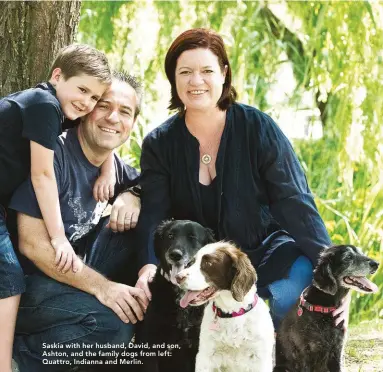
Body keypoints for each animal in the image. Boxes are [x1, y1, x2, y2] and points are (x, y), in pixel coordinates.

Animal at [274, 244, 380, 372]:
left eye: (361, 252)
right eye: (348, 257)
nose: (376, 263)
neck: (324, 308)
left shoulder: (337, 350)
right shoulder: (305, 354)